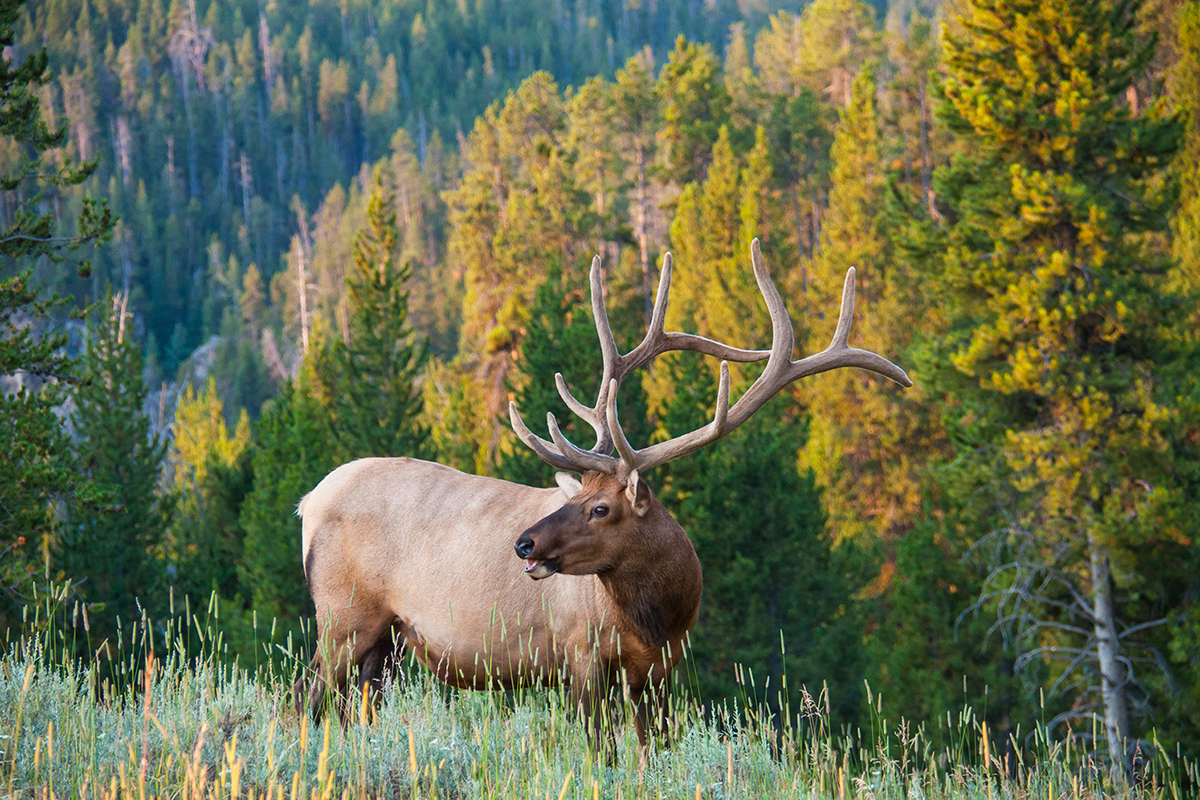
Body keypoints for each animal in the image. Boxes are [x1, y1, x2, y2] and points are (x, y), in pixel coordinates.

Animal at [292, 237, 907, 743]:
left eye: (600, 507)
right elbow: (598, 750)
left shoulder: (659, 669)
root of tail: (307, 503)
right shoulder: (579, 651)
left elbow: (654, 749)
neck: (658, 614)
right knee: (309, 698)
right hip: (342, 615)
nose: (524, 544)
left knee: (352, 708)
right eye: (572, 499)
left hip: (388, 640)